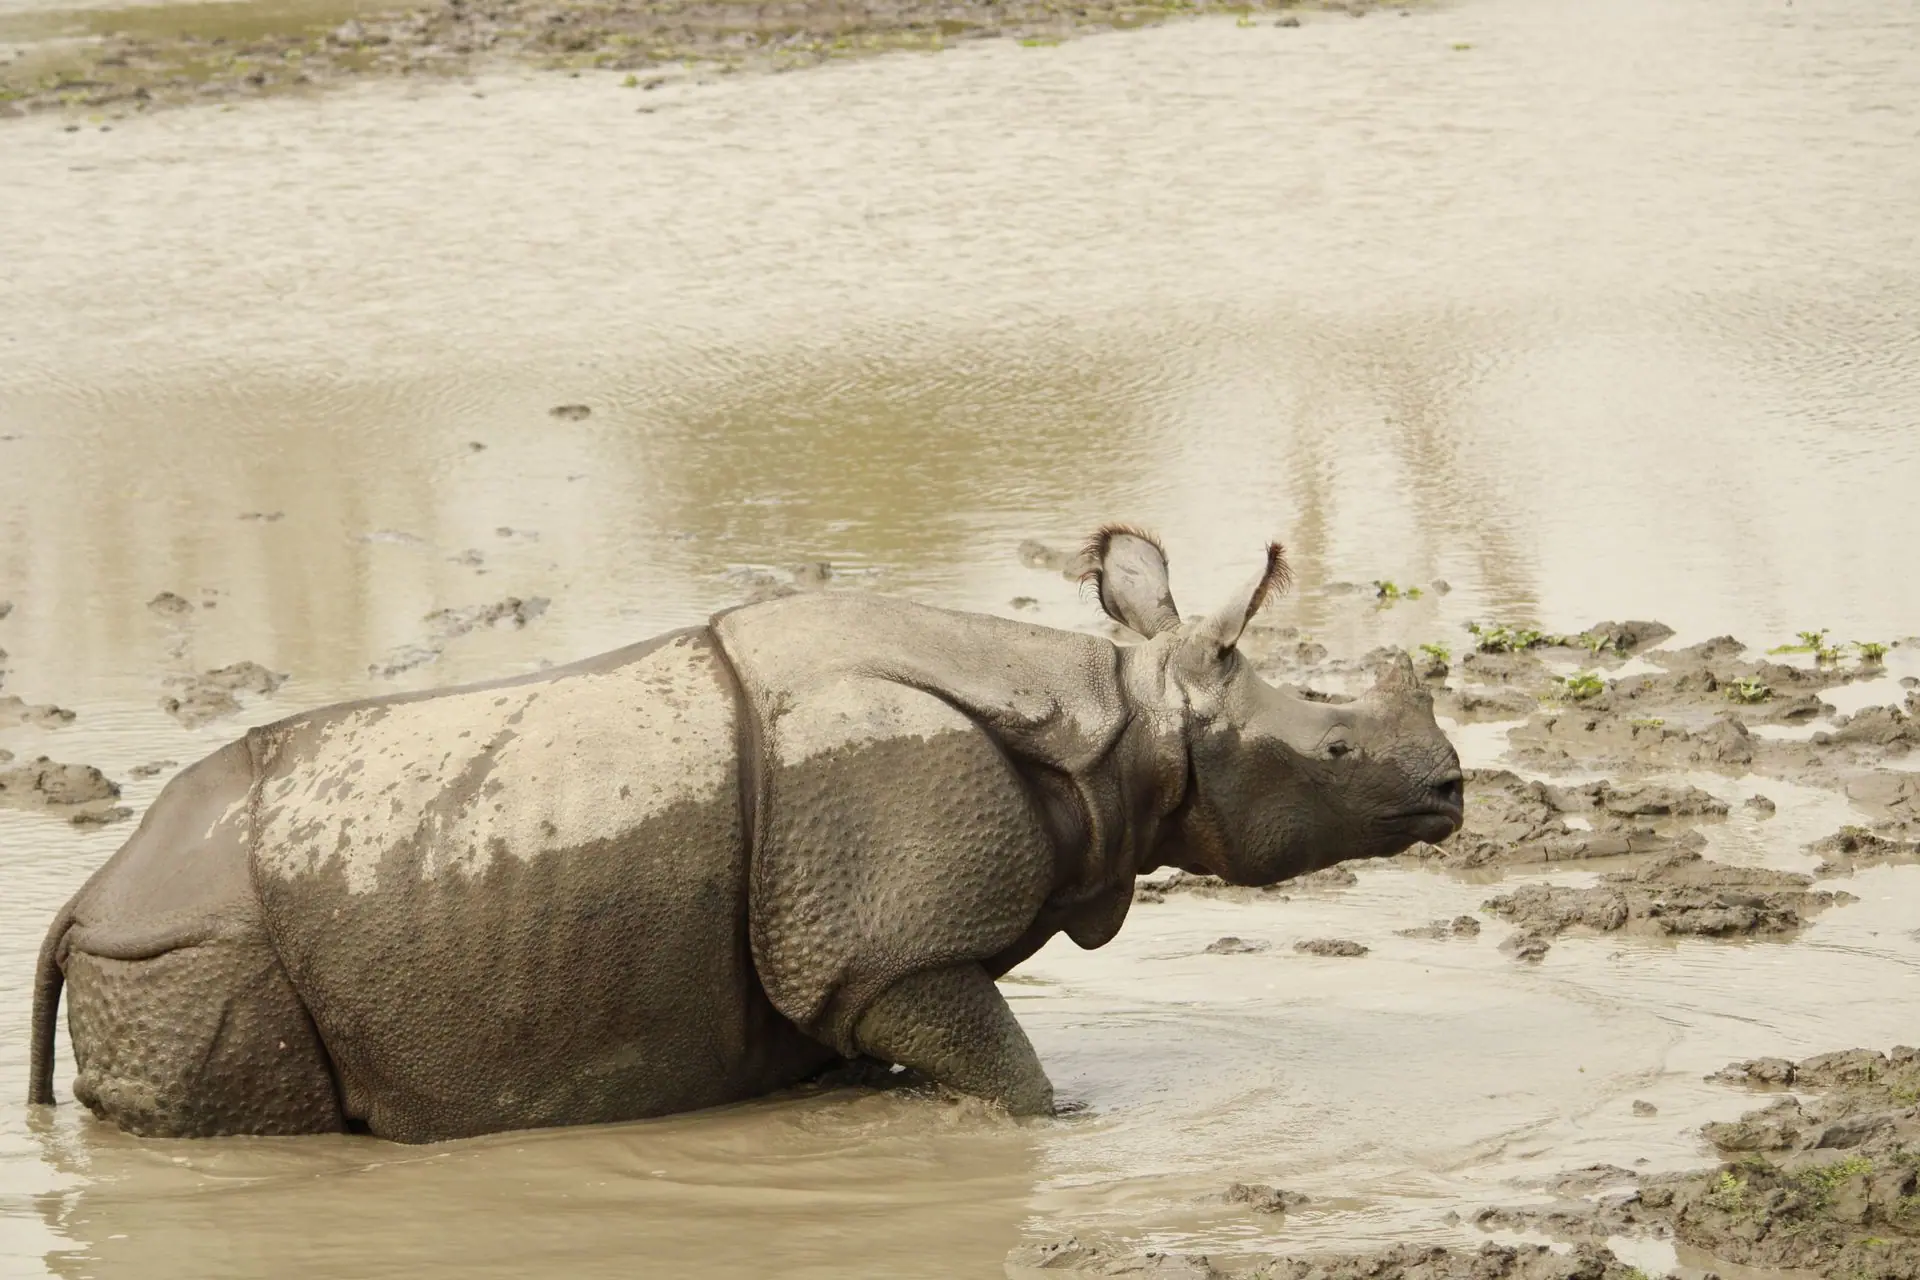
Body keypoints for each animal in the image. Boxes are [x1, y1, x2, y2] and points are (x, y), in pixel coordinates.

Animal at [26, 527, 1462, 1142]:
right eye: (1336, 753)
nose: (1452, 788)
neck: (1115, 723)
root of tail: (92, 897)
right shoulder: (892, 953)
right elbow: (1015, 1081)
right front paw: (1067, 1124)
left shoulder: (832, 965)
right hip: (197, 953)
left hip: (185, 942)